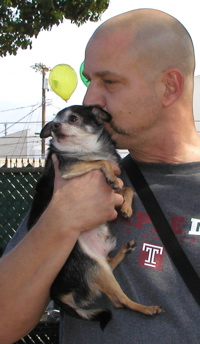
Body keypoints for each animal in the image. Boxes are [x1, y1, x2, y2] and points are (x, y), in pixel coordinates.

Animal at [27, 105, 162, 330]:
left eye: (73, 119)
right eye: (54, 122)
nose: (54, 126)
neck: (85, 148)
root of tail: (57, 293)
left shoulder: (116, 187)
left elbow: (127, 188)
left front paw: (126, 208)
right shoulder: (67, 168)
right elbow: (102, 161)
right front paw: (109, 176)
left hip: (100, 263)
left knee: (110, 265)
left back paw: (124, 251)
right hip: (92, 265)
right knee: (119, 301)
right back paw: (146, 308)